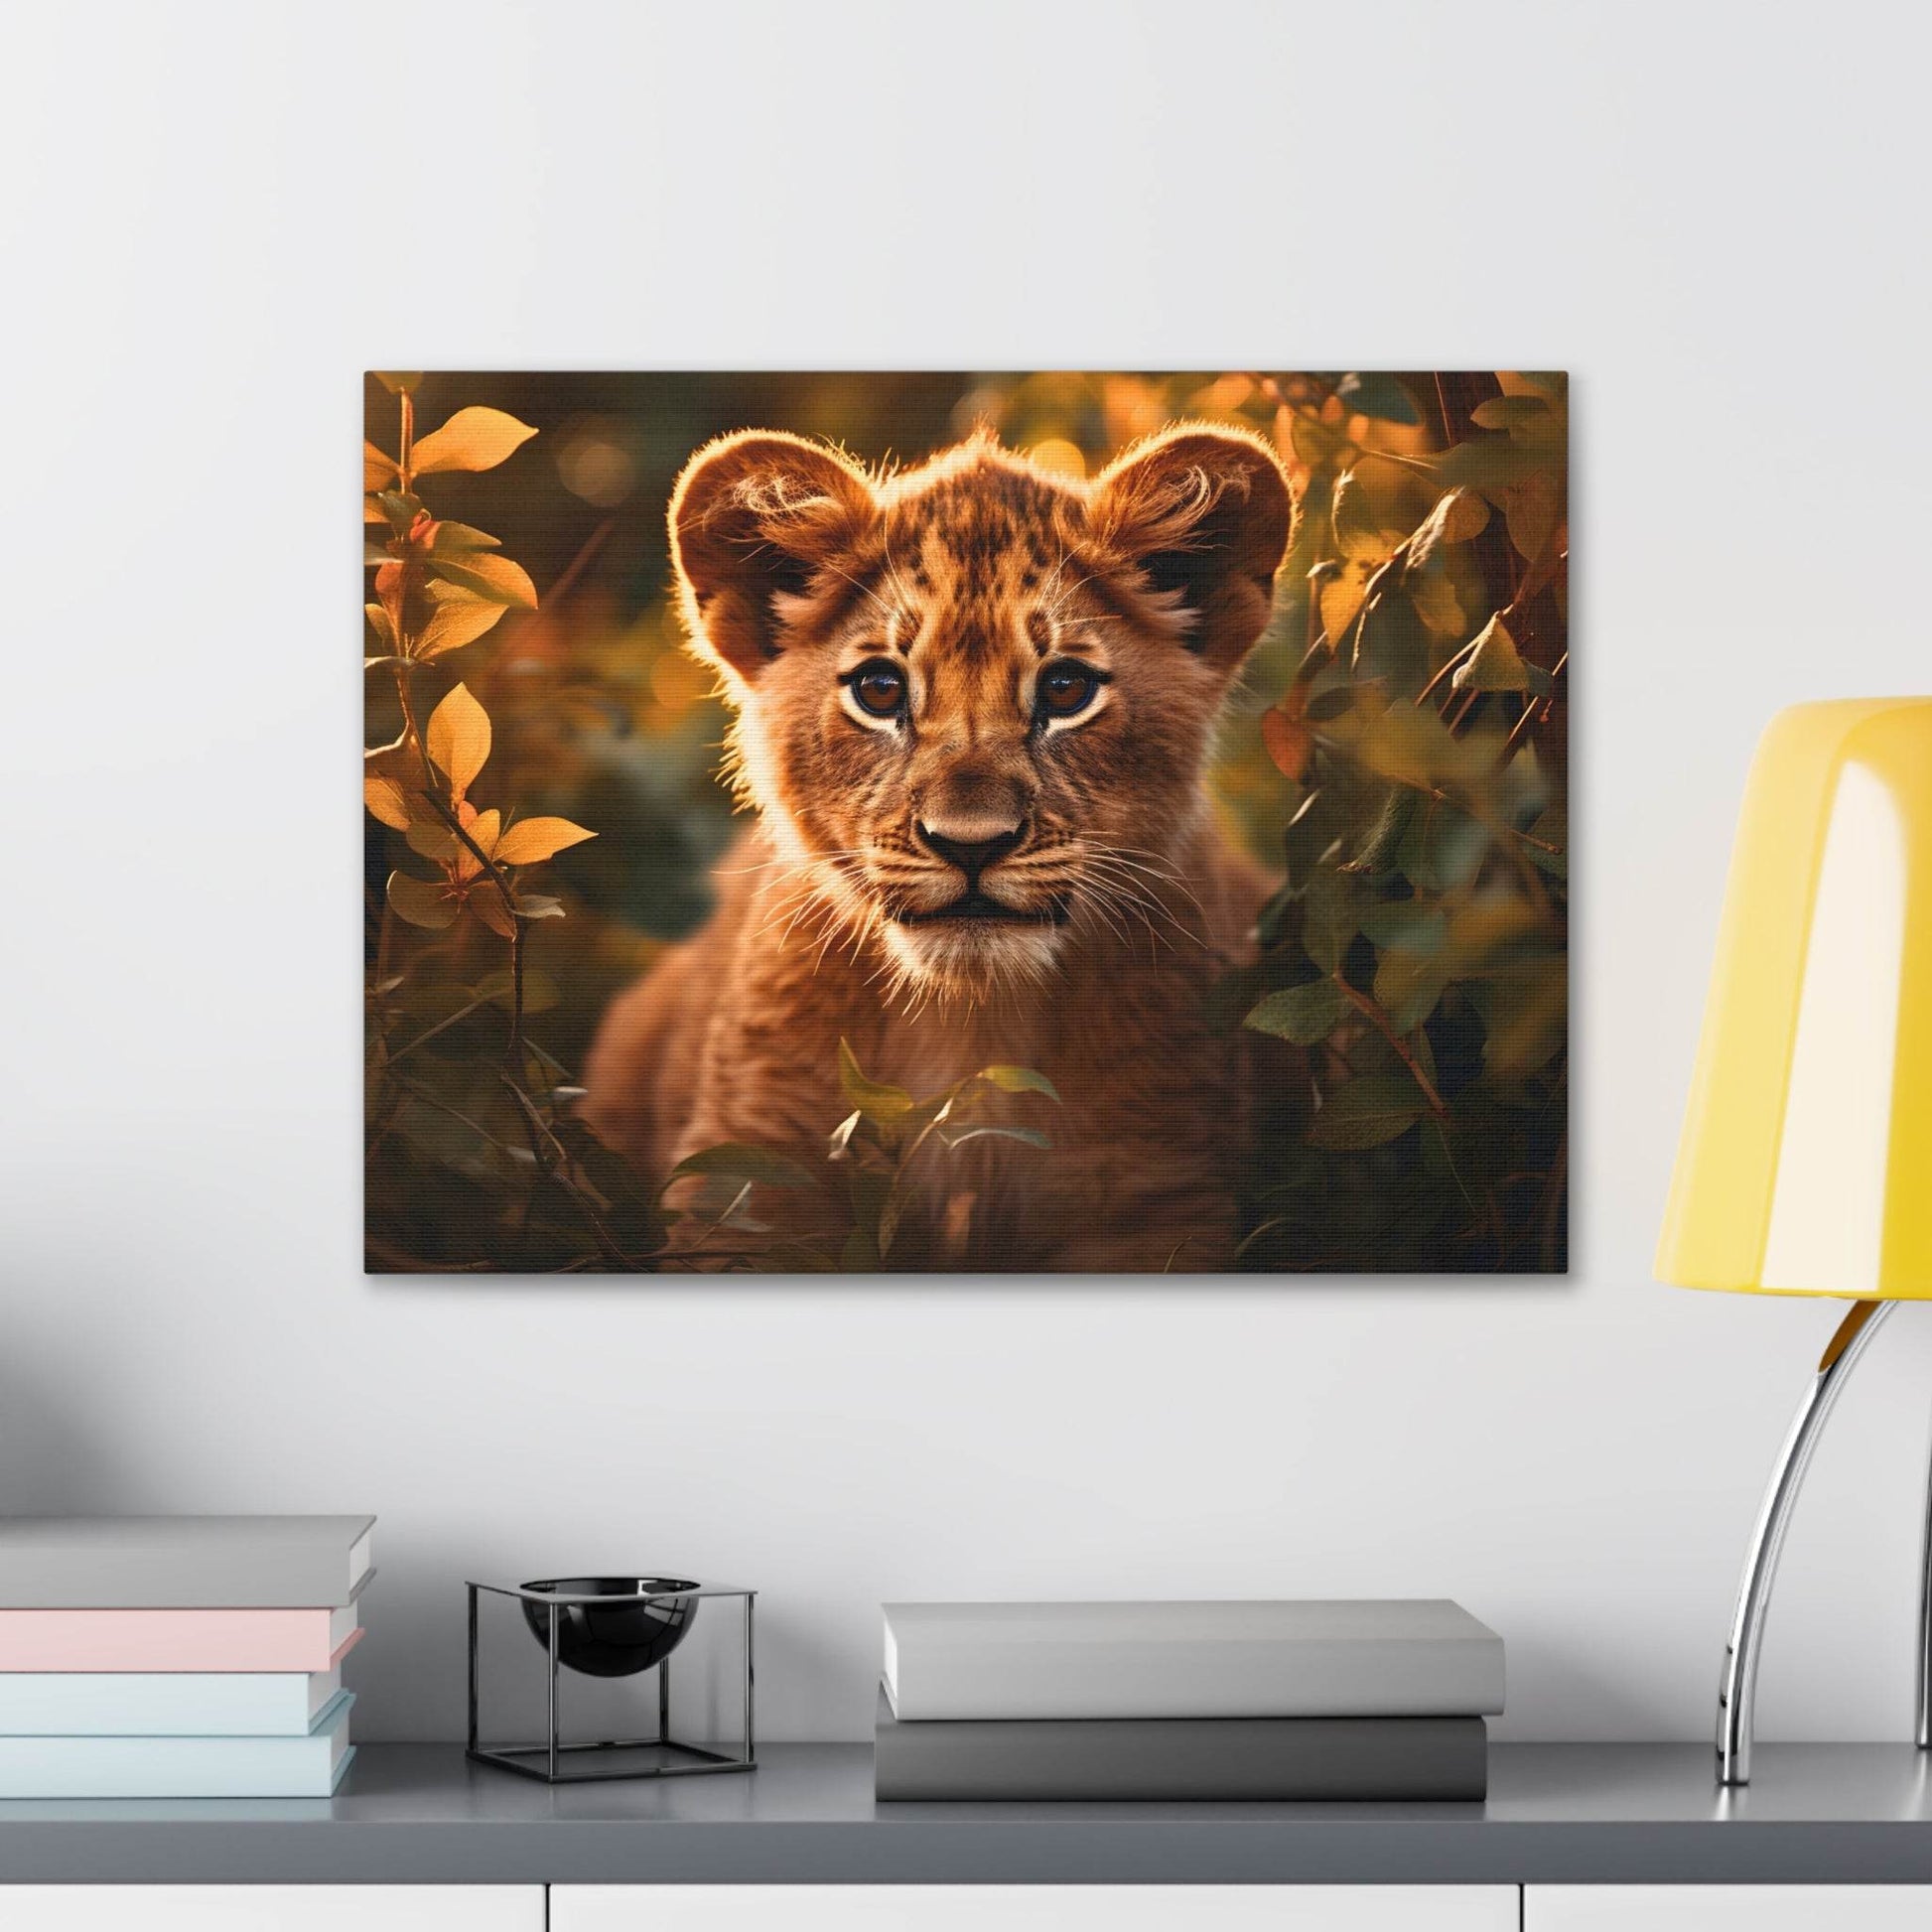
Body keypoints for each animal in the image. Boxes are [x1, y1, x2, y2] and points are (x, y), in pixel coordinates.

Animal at [581, 421, 1297, 1270]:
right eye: (880, 690)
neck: (972, 1026)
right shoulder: (750, 1178)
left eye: (1065, 690)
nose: (972, 845)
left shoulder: (1157, 1194)